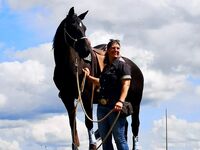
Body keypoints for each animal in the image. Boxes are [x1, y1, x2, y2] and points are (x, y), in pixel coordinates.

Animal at [52, 6, 144, 149]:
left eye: (84, 27)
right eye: (72, 26)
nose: (86, 51)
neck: (69, 66)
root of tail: (136, 68)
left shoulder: (86, 95)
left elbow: (88, 122)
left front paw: (93, 145)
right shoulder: (67, 98)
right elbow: (72, 124)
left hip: (136, 103)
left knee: (135, 126)